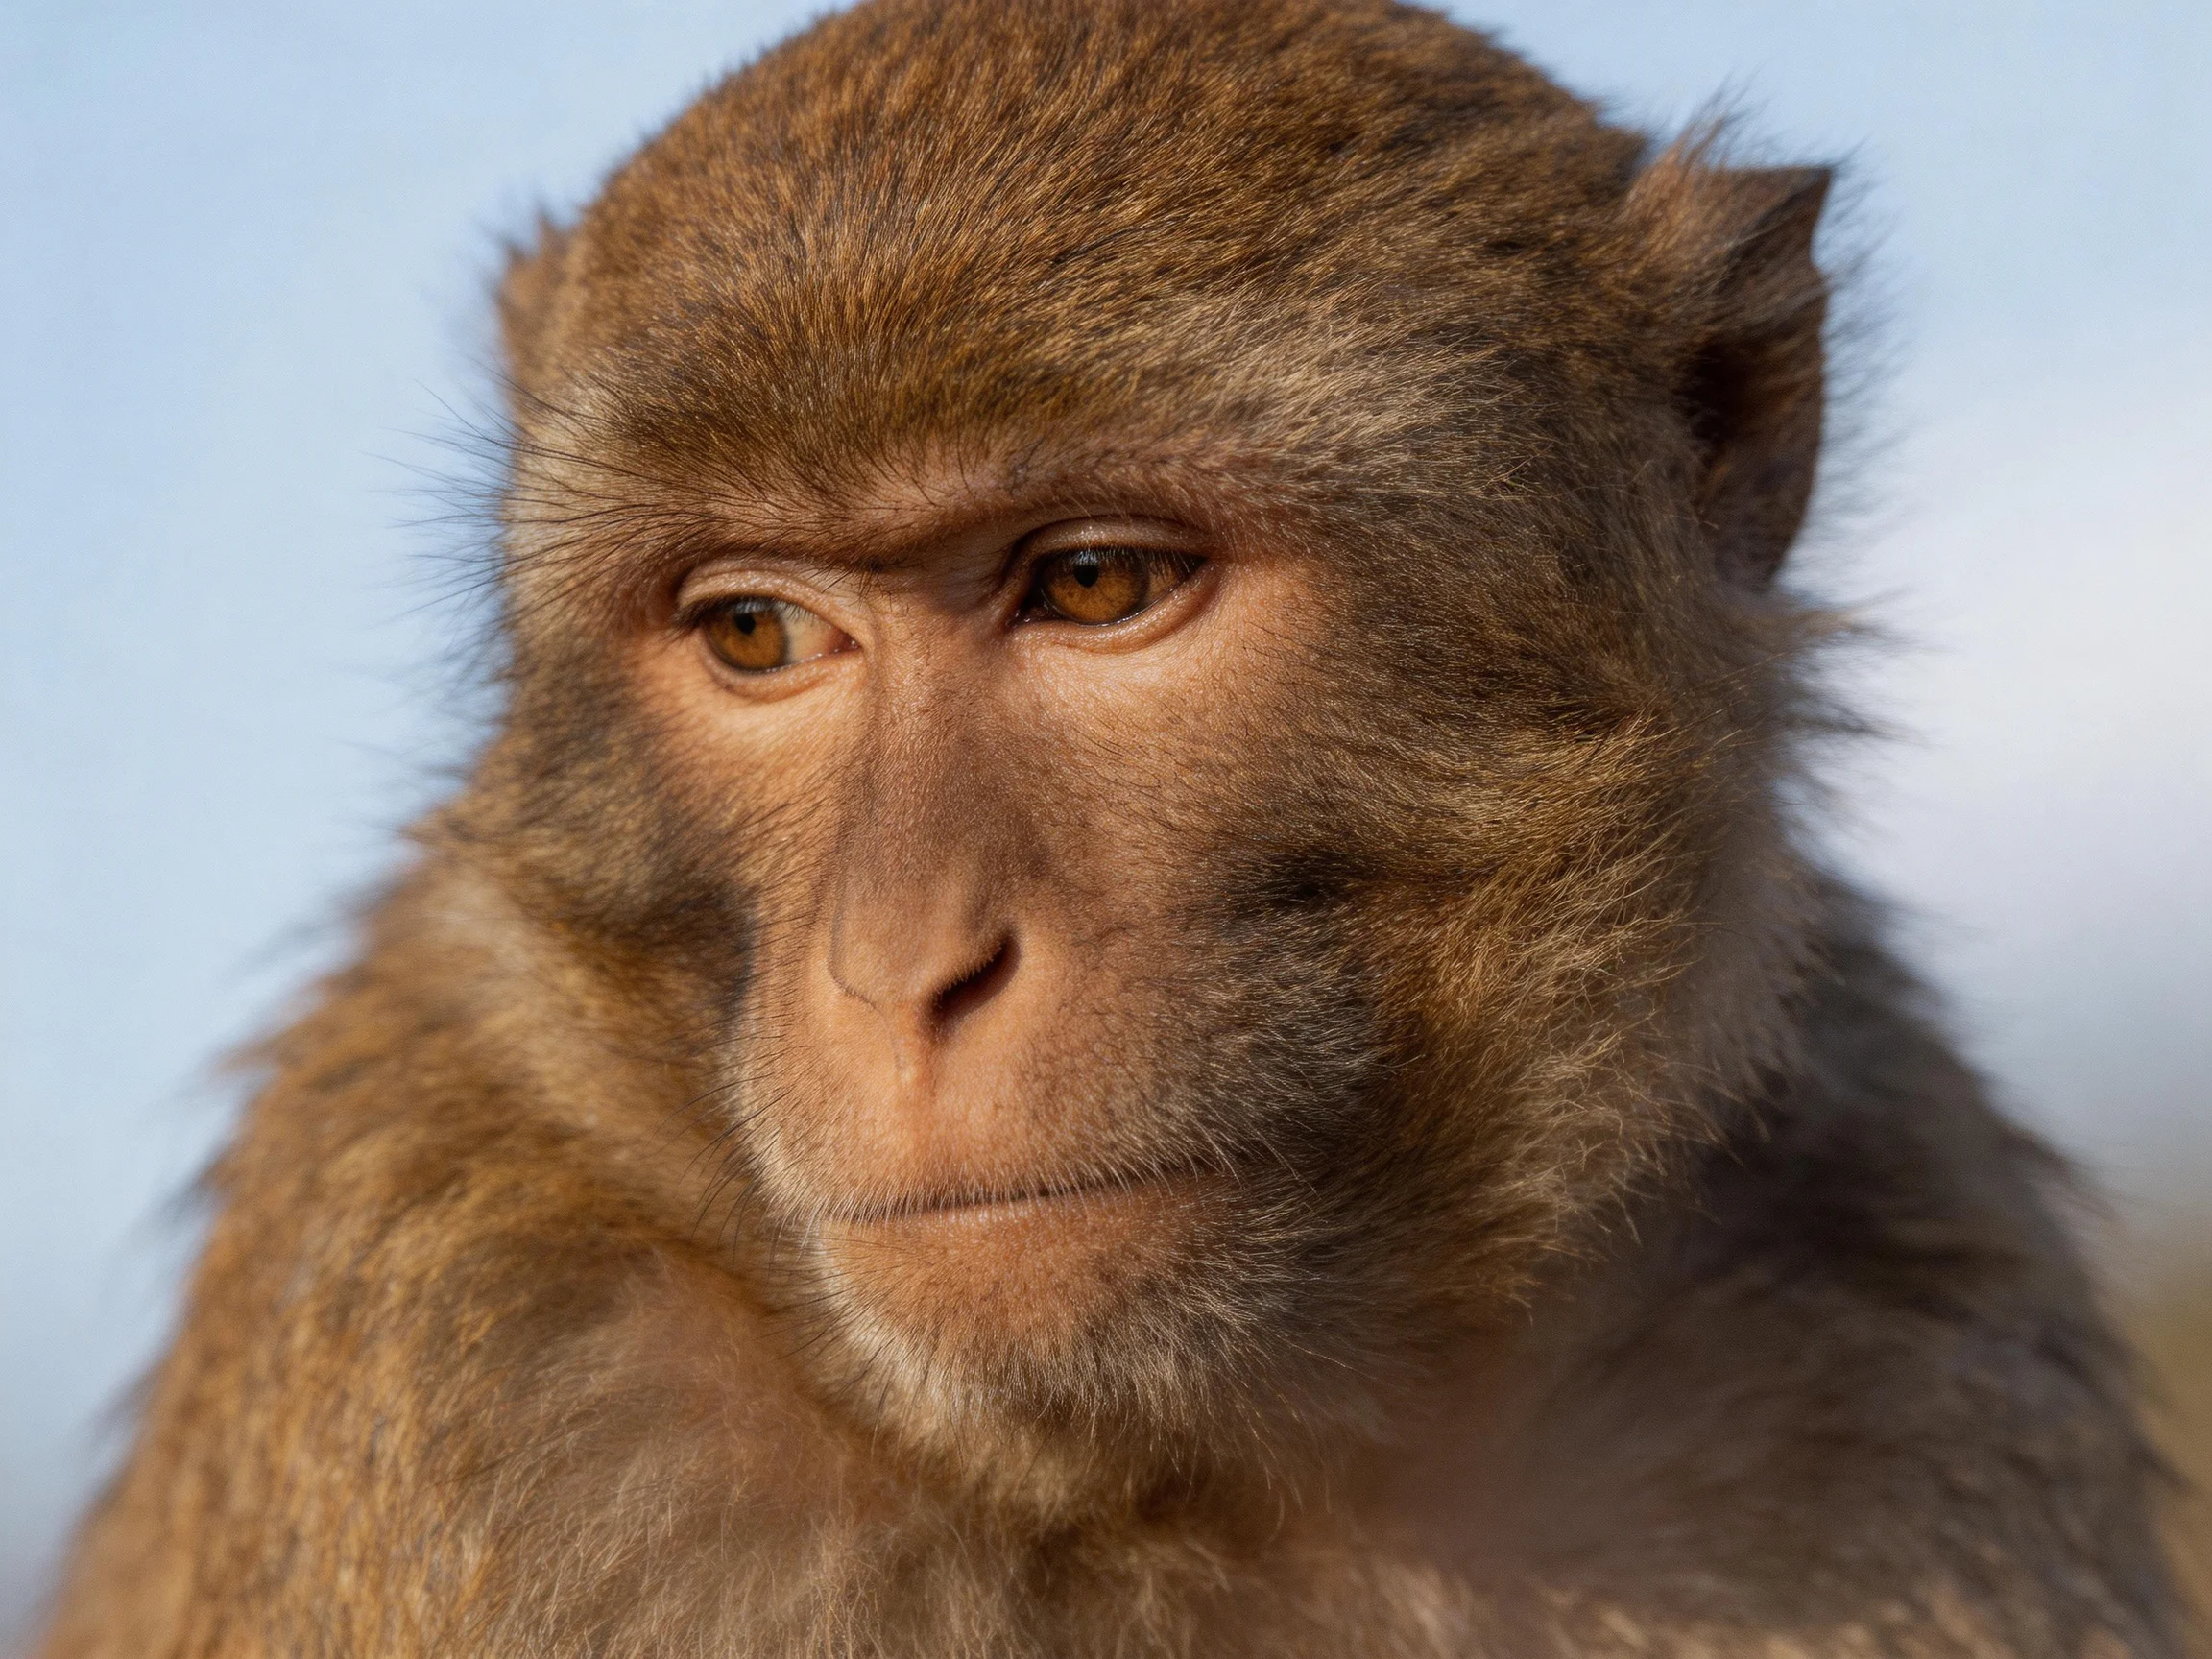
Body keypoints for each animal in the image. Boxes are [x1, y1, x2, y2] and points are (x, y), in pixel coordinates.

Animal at [34, 0, 2185, 1654]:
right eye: (756, 633)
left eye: (1089, 585)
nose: (906, 965)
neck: (1241, 1470)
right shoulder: (456, 1342)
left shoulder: (1883, 1316)